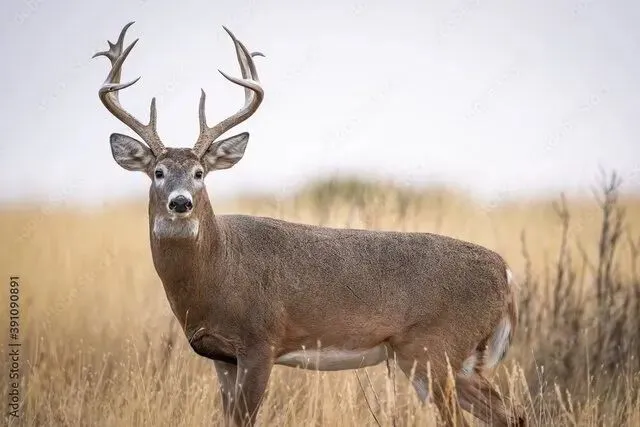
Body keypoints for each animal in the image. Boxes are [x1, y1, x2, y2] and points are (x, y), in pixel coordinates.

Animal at [94, 22, 526, 427]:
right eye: (158, 172)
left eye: (200, 173)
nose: (180, 202)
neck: (218, 269)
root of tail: (505, 272)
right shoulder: (221, 357)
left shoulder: (260, 342)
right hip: (454, 359)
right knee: (511, 413)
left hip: (435, 349)